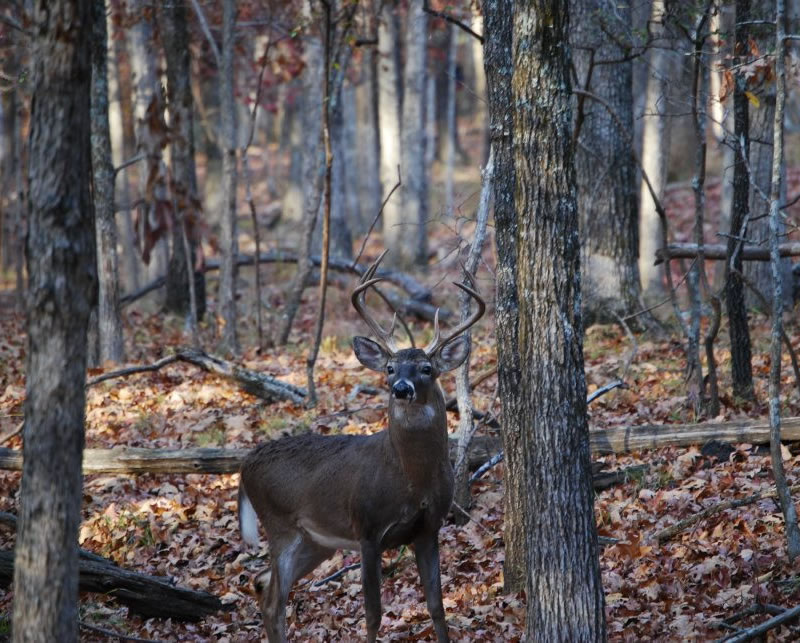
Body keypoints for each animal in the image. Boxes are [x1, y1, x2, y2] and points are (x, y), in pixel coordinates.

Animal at [238, 251, 485, 642]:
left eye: (426, 368)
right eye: (389, 367)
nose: (400, 388)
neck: (411, 479)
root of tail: (245, 464)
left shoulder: (428, 529)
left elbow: (437, 607)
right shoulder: (367, 529)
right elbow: (373, 614)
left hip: (316, 541)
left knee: (262, 585)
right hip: (280, 526)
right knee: (274, 599)